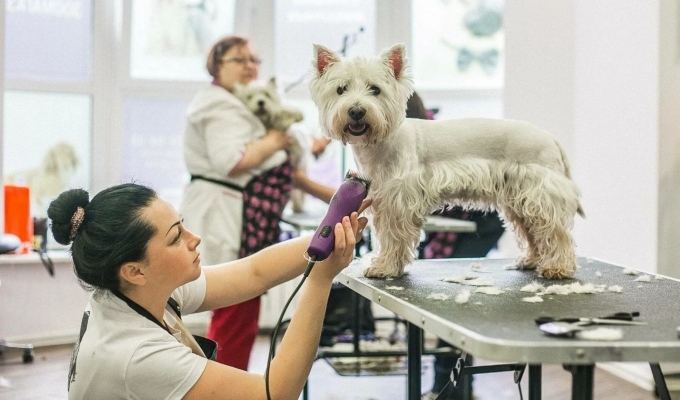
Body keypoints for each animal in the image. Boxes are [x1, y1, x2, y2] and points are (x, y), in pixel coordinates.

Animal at [308, 43, 584, 280]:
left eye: (375, 89)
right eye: (341, 89)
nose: (356, 111)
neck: (379, 144)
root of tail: (551, 139)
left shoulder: (398, 203)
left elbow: (393, 237)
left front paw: (384, 268)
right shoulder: (382, 200)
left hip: (540, 195)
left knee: (555, 232)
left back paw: (558, 268)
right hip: (520, 201)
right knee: (533, 231)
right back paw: (532, 260)